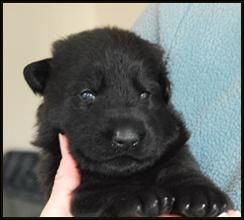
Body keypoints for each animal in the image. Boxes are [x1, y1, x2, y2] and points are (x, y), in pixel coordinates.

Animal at [23, 27, 234, 217]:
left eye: (145, 94)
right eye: (87, 94)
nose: (127, 138)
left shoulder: (173, 140)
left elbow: (180, 164)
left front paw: (202, 193)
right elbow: (100, 180)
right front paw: (134, 194)